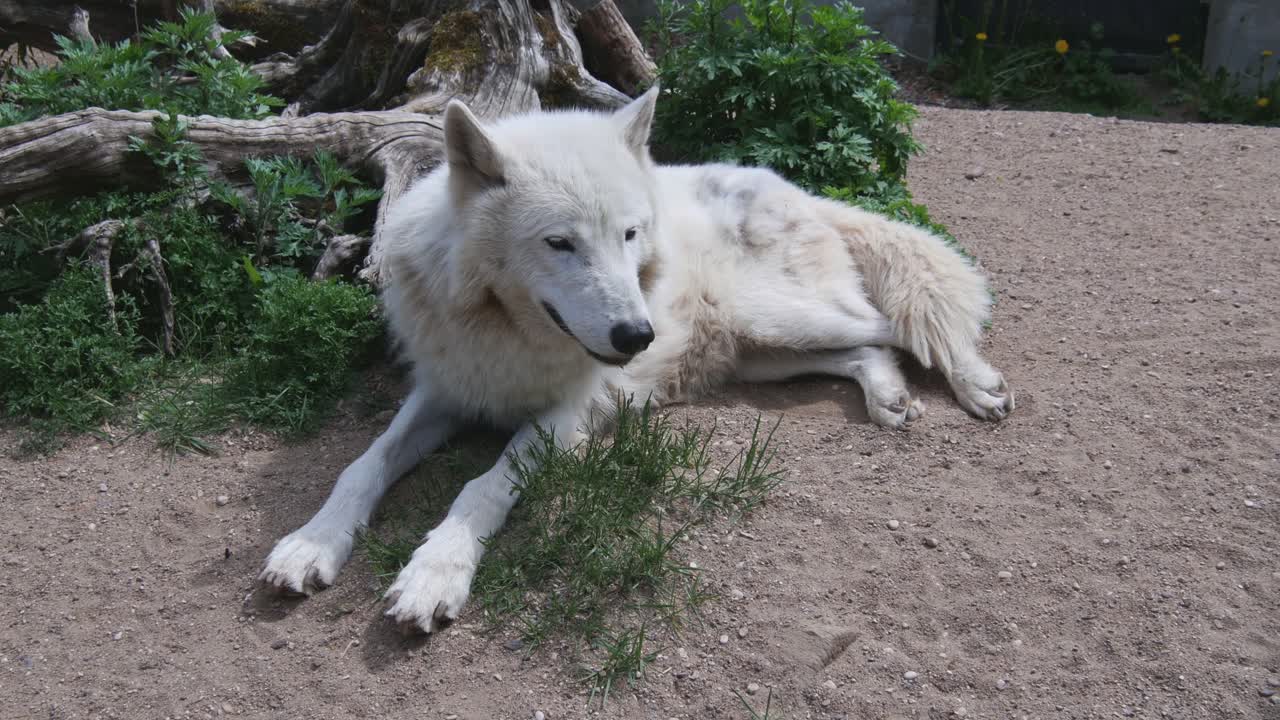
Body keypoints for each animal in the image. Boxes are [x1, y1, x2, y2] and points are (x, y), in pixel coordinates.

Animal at [258, 87, 1014, 633]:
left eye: (627, 234)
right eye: (559, 243)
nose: (635, 336)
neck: (506, 333)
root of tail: (800, 190)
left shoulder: (562, 416)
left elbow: (481, 486)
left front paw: (433, 574)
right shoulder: (446, 390)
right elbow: (363, 464)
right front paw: (311, 543)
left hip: (778, 318)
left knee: (897, 323)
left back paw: (976, 384)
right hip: (763, 355)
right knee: (867, 347)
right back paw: (888, 396)